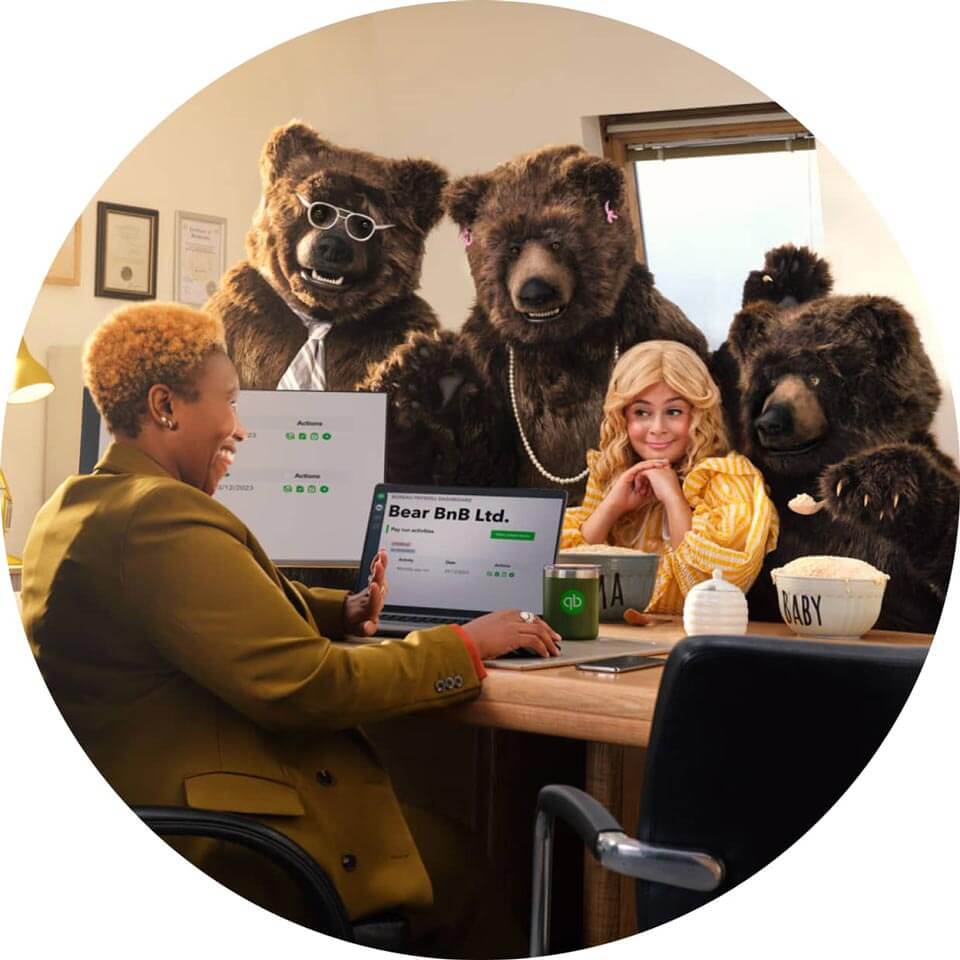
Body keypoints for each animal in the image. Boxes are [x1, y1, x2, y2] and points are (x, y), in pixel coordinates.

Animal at [206, 120, 446, 390]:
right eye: (319, 211)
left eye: (364, 224)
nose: (333, 247)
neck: (318, 316)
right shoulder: (244, 317)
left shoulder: (394, 326)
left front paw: (417, 368)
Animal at [372, 146, 708, 506]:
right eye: (512, 247)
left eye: (558, 242)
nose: (535, 291)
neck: (558, 344)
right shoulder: (490, 366)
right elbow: (473, 464)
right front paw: (427, 375)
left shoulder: (652, 330)